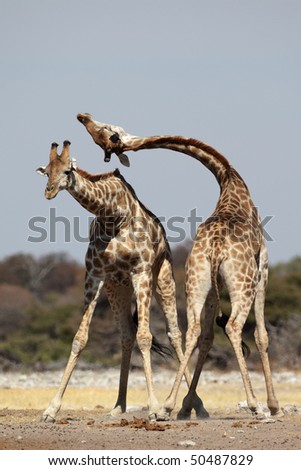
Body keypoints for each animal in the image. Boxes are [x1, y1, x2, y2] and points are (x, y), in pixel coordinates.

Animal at [36, 140, 203, 422]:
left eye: (67, 171)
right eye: (47, 171)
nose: (48, 192)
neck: (112, 214)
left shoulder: (141, 271)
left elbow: (146, 337)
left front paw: (155, 408)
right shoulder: (94, 274)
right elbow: (80, 338)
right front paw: (50, 409)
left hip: (163, 280)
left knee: (174, 334)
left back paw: (194, 407)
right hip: (117, 289)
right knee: (126, 335)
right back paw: (118, 406)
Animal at [77, 113, 282, 418]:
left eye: (107, 132)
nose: (83, 117)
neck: (230, 181)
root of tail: (216, 248)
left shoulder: (214, 286)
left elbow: (206, 336)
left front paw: (185, 404)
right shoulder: (263, 267)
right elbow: (261, 336)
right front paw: (275, 405)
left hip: (197, 279)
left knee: (193, 330)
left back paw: (171, 405)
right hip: (241, 282)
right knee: (233, 326)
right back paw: (255, 405)